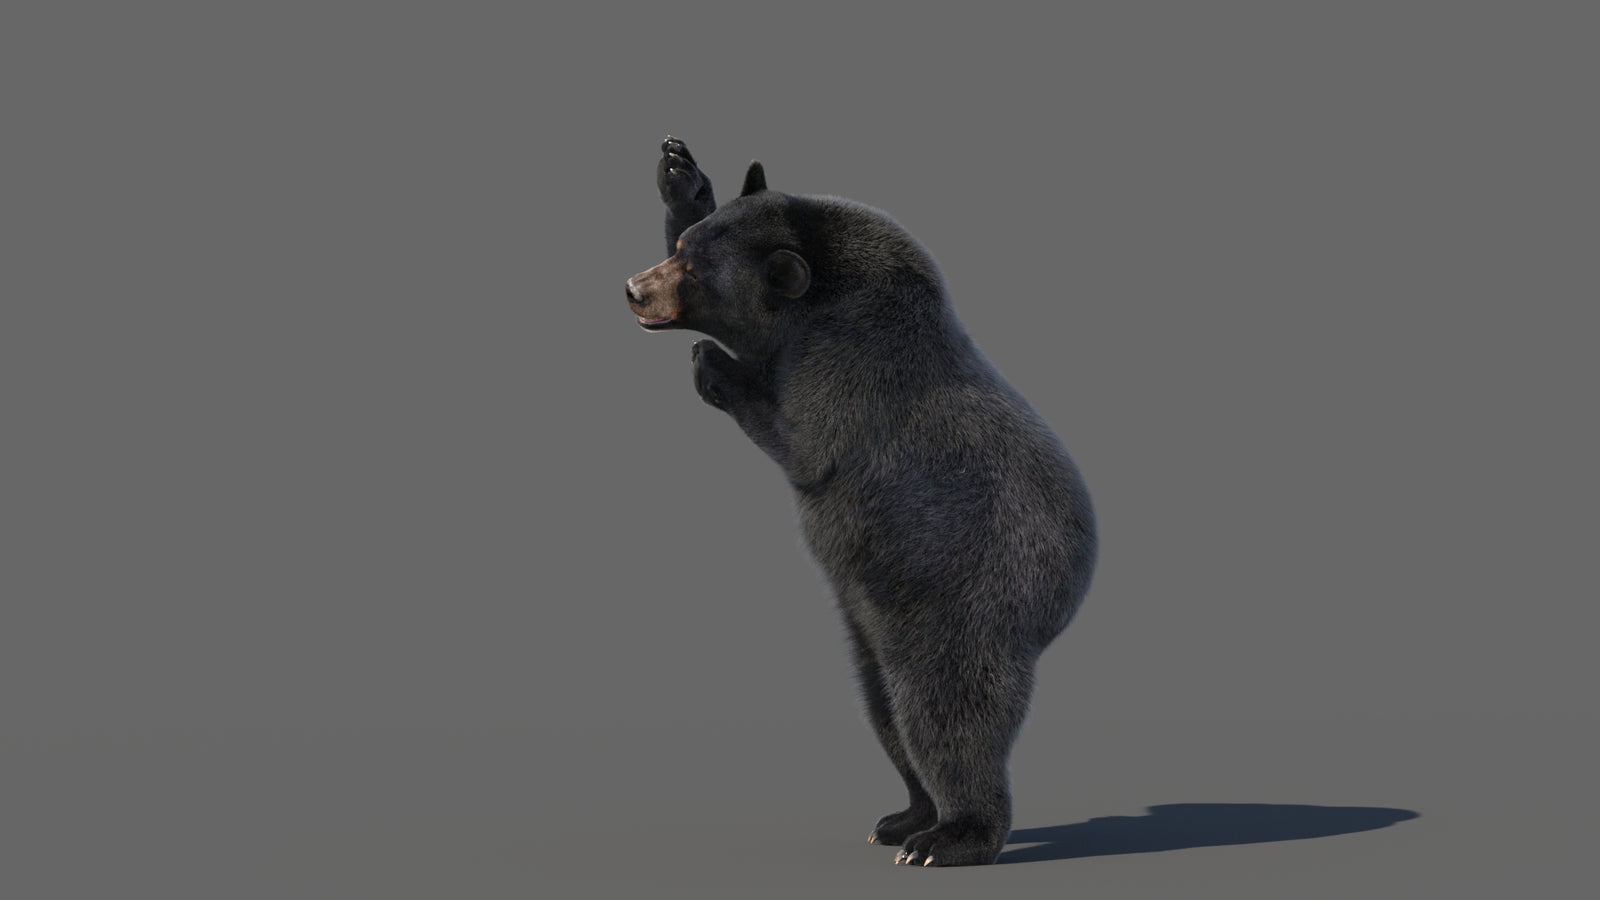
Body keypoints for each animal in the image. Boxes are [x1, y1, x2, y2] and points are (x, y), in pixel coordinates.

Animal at [625, 136, 1097, 867]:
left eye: (698, 274)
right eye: (683, 251)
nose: (634, 291)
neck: (825, 291)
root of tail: (1069, 594)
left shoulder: (852, 364)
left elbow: (803, 440)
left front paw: (714, 364)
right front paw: (680, 173)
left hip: (965, 606)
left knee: (946, 718)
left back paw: (951, 836)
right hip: (874, 624)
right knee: (884, 712)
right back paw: (903, 817)